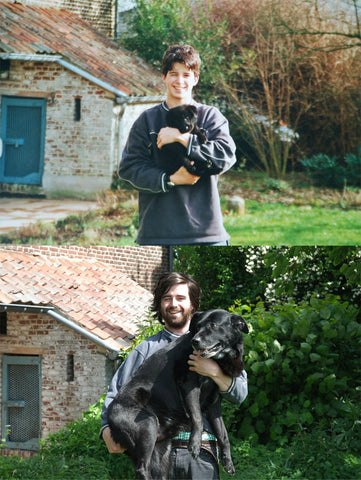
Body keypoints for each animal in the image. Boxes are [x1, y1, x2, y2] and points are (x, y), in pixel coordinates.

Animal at [107, 310, 248, 478]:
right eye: (198, 326)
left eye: (213, 325)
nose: (195, 341)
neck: (218, 360)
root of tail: (110, 421)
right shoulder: (189, 386)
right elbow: (198, 417)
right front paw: (195, 444)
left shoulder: (214, 403)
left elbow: (223, 434)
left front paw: (228, 462)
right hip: (148, 424)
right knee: (141, 468)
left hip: (162, 452)